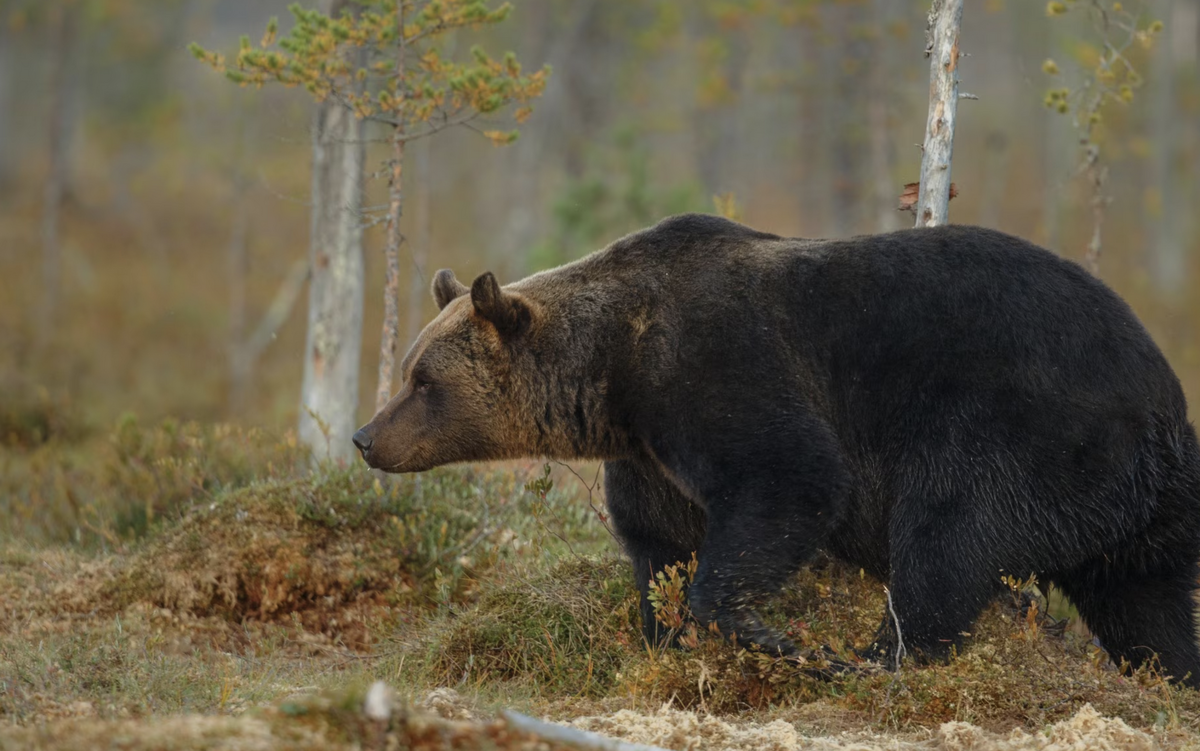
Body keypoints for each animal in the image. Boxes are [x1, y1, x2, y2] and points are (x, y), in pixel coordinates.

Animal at [350, 211, 1200, 686]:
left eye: (422, 379)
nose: (364, 436)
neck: (614, 372)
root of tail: (1163, 401)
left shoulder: (719, 367)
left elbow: (791, 479)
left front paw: (768, 635)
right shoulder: (650, 454)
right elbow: (660, 545)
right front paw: (666, 637)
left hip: (1020, 427)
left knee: (947, 538)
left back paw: (876, 658)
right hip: (1132, 506)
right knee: (1146, 601)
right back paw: (1167, 679)